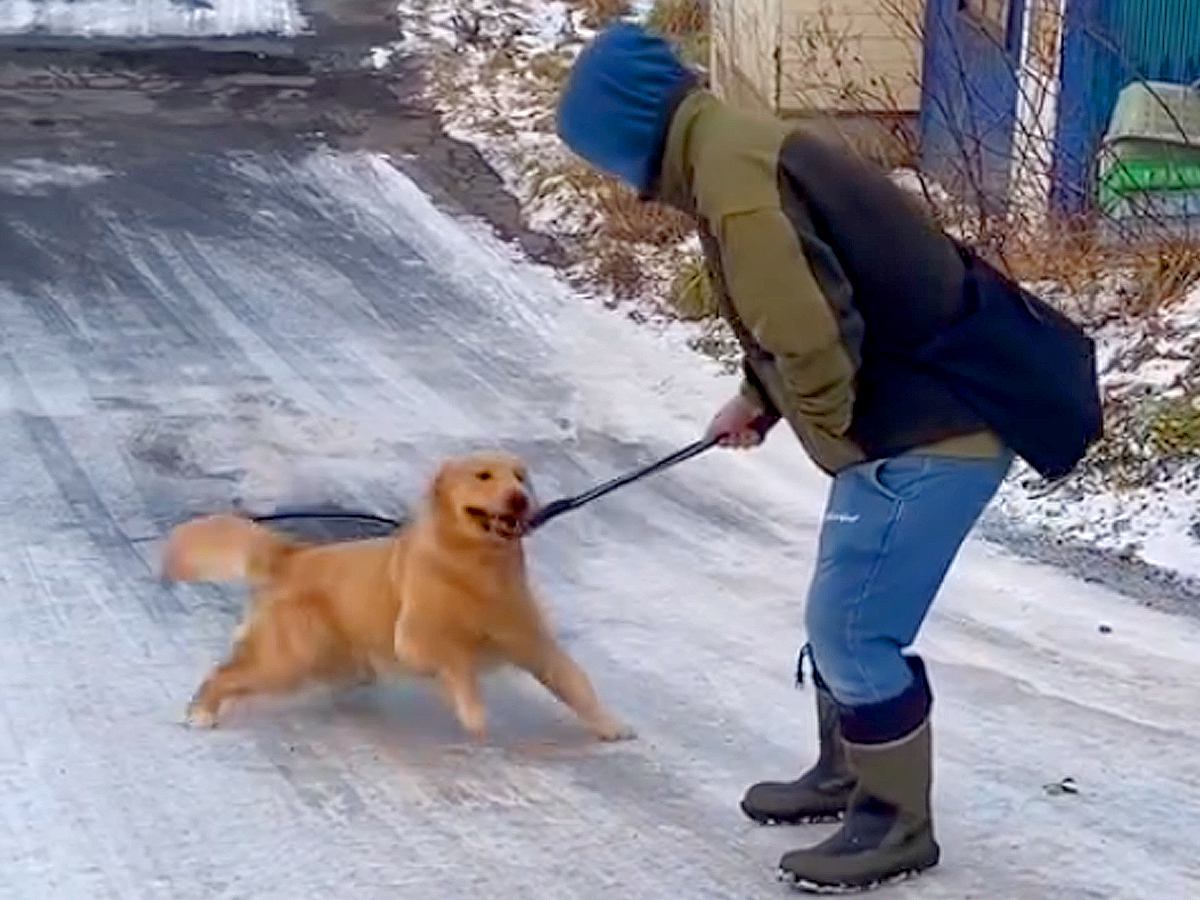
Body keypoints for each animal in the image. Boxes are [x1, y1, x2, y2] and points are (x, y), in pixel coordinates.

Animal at [163, 453, 633, 744]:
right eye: (483, 475)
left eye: (520, 476)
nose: (520, 498)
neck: (476, 566)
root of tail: (293, 554)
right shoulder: (416, 639)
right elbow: (458, 661)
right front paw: (473, 712)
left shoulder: (533, 643)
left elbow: (575, 683)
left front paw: (612, 726)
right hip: (291, 655)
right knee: (225, 673)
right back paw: (201, 712)